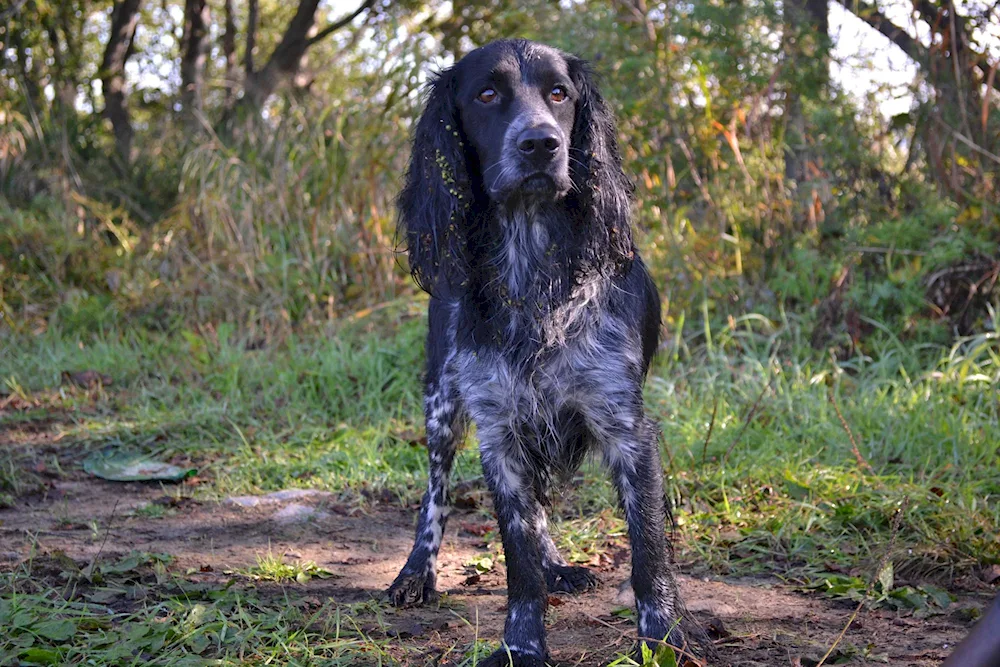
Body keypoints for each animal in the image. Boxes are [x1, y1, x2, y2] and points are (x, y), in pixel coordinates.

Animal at [388, 39, 696, 664]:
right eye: (486, 94)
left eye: (560, 93)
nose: (540, 144)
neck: (532, 270)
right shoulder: (498, 432)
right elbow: (518, 560)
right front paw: (521, 646)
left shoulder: (625, 427)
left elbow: (648, 551)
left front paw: (662, 640)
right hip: (441, 401)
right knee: (437, 490)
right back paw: (415, 572)